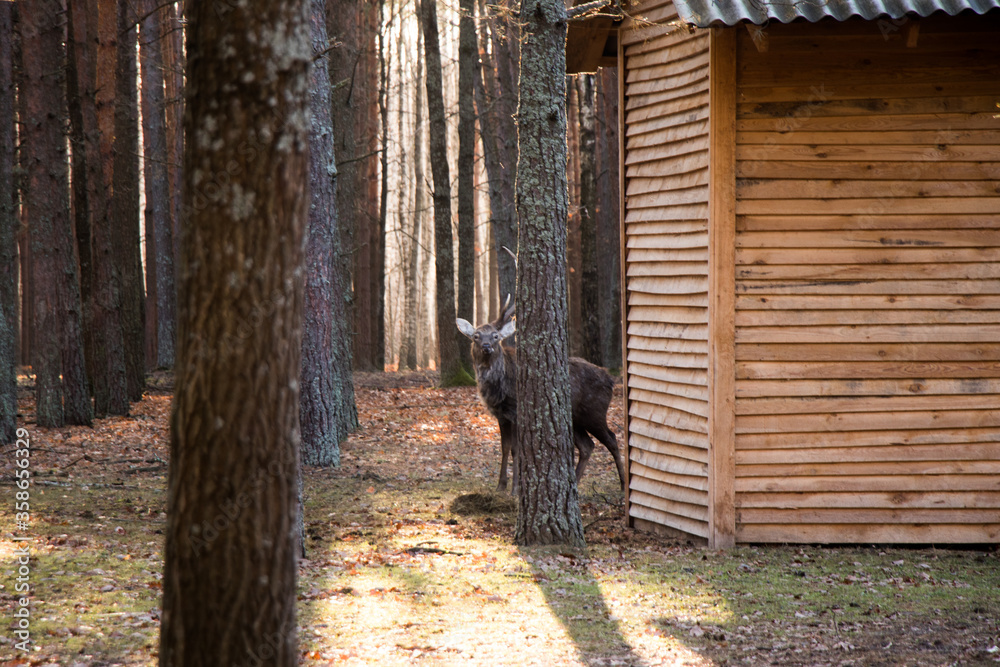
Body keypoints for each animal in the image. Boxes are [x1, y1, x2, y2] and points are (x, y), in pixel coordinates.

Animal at [456, 296, 627, 494]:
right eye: (476, 336)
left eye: (495, 336)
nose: (486, 346)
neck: (499, 389)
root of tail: (610, 380)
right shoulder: (501, 415)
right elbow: (504, 448)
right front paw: (500, 486)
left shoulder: (516, 411)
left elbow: (515, 449)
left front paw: (515, 489)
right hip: (575, 418)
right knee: (587, 446)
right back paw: (574, 484)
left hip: (595, 412)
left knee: (612, 439)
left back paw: (623, 485)